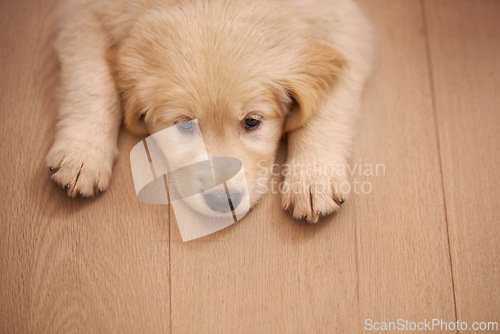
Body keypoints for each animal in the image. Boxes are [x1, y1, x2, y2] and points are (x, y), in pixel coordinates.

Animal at [47, 0, 374, 224]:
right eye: (184, 125)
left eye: (252, 121)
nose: (223, 201)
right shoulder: (83, 13)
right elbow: (89, 79)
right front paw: (82, 154)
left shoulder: (345, 22)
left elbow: (329, 108)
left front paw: (313, 179)